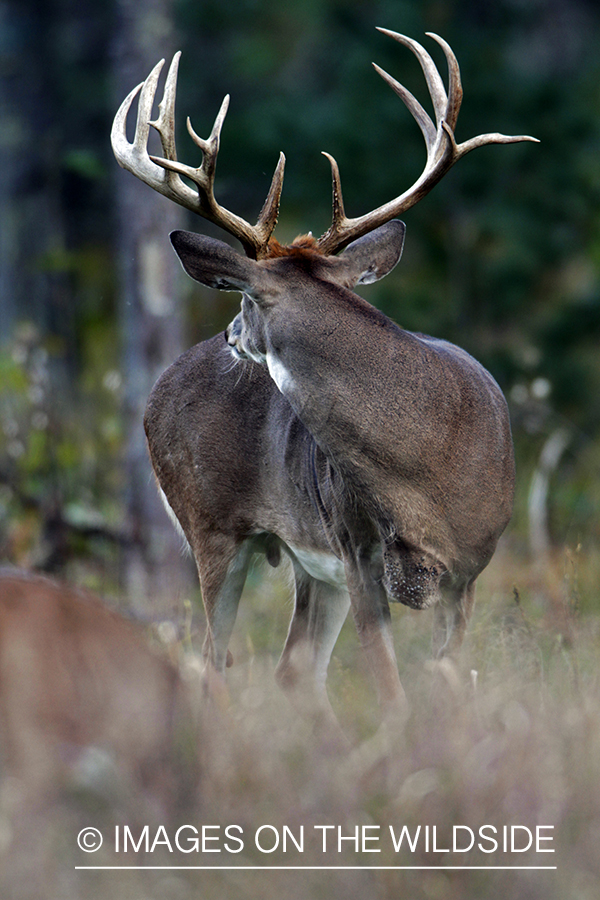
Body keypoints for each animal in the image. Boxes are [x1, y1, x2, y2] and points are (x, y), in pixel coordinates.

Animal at [112, 28, 540, 732]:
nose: (229, 336)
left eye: (244, 299)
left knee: (292, 669)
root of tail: (162, 383)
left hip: (309, 566)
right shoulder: (357, 549)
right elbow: (393, 691)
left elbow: (446, 691)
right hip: (212, 527)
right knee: (214, 663)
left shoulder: (469, 570)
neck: (430, 457)